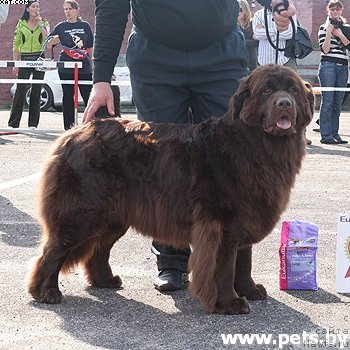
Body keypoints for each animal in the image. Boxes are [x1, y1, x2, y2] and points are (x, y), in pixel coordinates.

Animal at [28, 65, 314, 314]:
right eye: (266, 91)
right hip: (82, 212)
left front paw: (250, 290)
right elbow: (223, 267)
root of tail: (75, 132)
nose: (284, 104)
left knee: (99, 249)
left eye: (293, 90)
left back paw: (105, 281)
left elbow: (244, 261)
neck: (256, 145)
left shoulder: (247, 214)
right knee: (53, 251)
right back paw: (46, 292)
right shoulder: (221, 225)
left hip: (114, 215)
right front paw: (229, 303)